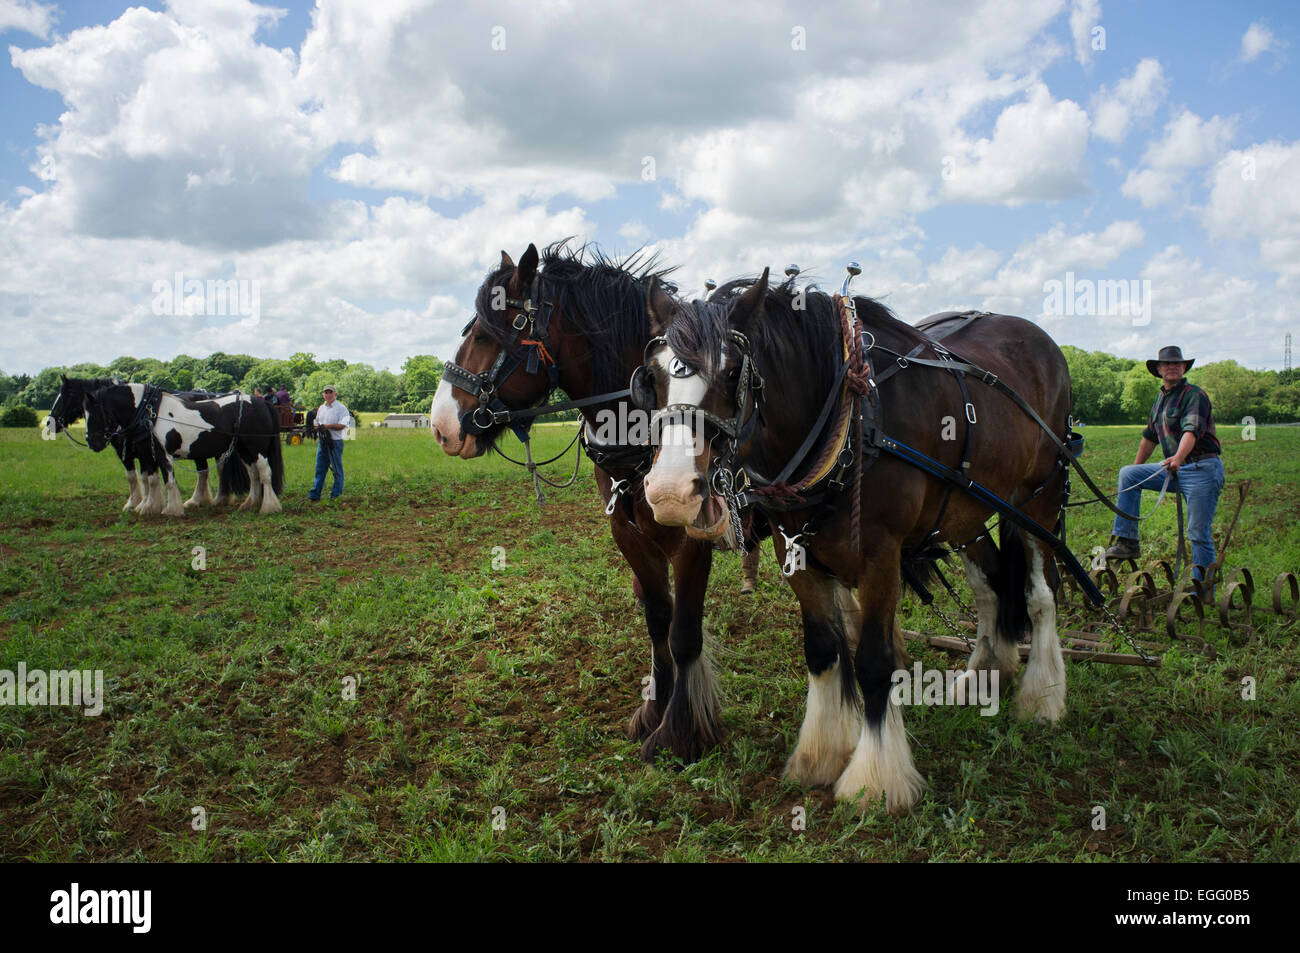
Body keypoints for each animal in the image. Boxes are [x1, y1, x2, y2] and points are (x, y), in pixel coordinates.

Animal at [47, 376, 249, 513]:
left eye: (65, 396)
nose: (49, 422)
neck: (140, 411)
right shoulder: (141, 452)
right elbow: (145, 477)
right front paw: (145, 504)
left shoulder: (129, 453)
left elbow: (135, 477)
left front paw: (135, 504)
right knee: (204, 471)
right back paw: (199, 500)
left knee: (217, 468)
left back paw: (215, 499)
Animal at [83, 383, 284, 516]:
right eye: (83, 414)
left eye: (95, 413)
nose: (92, 442)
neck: (149, 412)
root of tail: (261, 403)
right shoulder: (148, 455)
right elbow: (151, 480)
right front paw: (148, 507)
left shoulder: (163, 455)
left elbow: (169, 481)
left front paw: (171, 510)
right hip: (244, 450)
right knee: (253, 474)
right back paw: (251, 503)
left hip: (257, 449)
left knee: (265, 473)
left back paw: (268, 507)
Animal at [429, 241, 738, 762]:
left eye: (490, 333)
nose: (440, 426)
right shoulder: (628, 534)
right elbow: (658, 620)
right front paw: (654, 709)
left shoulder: (693, 540)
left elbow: (684, 634)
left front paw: (679, 733)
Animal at [639, 270, 1079, 813]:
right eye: (653, 376)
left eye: (732, 372)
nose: (671, 493)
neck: (848, 419)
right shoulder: (796, 553)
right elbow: (823, 651)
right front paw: (821, 755)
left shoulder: (880, 557)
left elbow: (872, 662)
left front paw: (875, 779)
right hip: (966, 514)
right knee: (991, 587)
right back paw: (984, 673)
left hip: (1038, 500)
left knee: (1040, 595)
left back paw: (1043, 696)